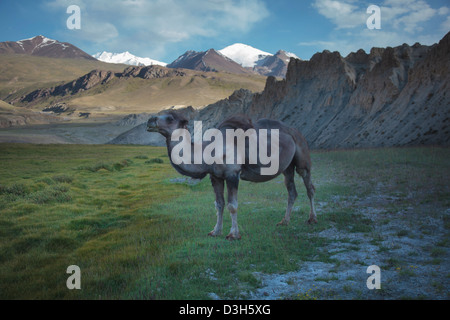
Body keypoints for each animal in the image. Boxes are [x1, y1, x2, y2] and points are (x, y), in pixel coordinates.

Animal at [148, 111, 316, 239]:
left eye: (170, 118)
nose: (150, 120)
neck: (209, 151)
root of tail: (296, 131)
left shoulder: (232, 174)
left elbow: (232, 205)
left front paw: (233, 234)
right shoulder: (215, 176)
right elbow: (219, 204)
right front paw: (215, 231)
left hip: (302, 156)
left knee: (309, 187)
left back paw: (312, 218)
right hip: (287, 167)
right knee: (291, 191)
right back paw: (284, 221)